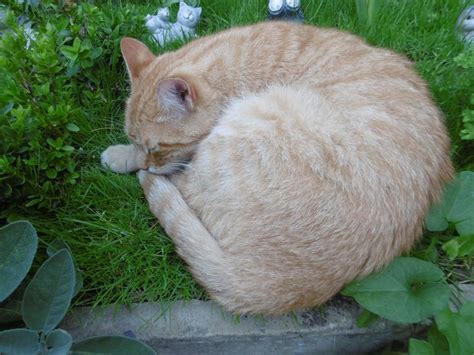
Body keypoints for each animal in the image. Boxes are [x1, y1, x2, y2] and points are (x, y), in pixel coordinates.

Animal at [102, 21, 454, 314]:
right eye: (137, 140)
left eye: (156, 148)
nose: (147, 163)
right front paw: (123, 154)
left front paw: (125, 160)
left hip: (248, 124)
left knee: (183, 187)